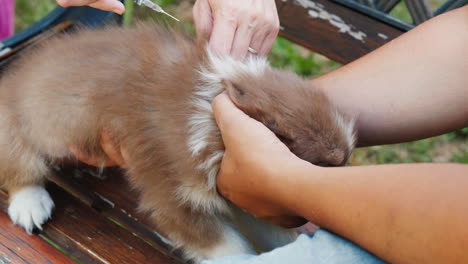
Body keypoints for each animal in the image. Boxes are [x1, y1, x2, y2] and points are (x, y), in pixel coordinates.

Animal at [0, 23, 352, 262]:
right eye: (323, 164)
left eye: (346, 163)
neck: (210, 120)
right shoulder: (174, 194)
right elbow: (228, 247)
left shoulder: (243, 197)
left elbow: (275, 233)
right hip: (15, 129)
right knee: (20, 169)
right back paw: (30, 203)